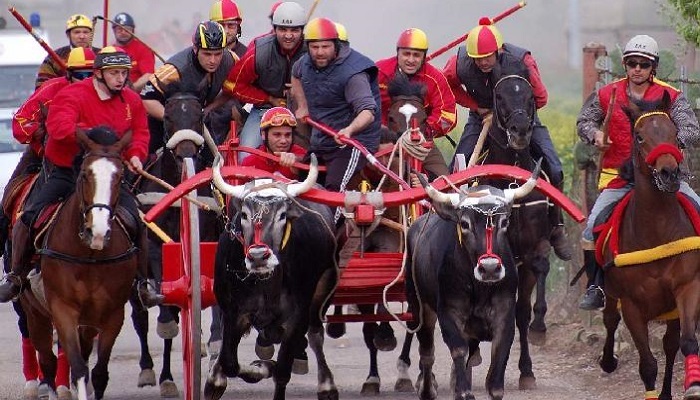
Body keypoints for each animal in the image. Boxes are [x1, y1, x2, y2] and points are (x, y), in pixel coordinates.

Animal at [21, 126, 139, 398]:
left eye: (120, 177)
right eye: (85, 174)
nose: (98, 231)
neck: (89, 257)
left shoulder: (112, 315)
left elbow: (98, 372)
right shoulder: (62, 310)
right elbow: (77, 366)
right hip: (34, 311)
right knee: (48, 360)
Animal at [596, 92, 700, 398]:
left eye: (675, 133)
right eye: (639, 136)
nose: (669, 174)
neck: (656, 231)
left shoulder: (688, 286)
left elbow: (686, 342)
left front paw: (692, 386)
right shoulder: (632, 305)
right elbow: (647, 365)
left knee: (670, 343)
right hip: (611, 293)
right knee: (610, 320)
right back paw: (608, 361)